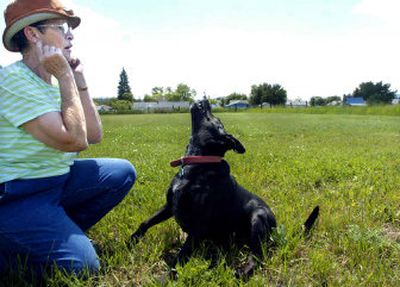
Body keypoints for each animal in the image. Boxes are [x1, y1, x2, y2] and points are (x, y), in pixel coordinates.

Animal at [130, 99, 318, 276]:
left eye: (215, 119)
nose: (205, 99)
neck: (197, 165)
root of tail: (276, 228)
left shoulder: (198, 225)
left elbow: (181, 256)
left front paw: (166, 277)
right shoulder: (170, 206)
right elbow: (146, 222)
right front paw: (131, 241)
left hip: (258, 218)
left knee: (257, 257)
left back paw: (241, 272)